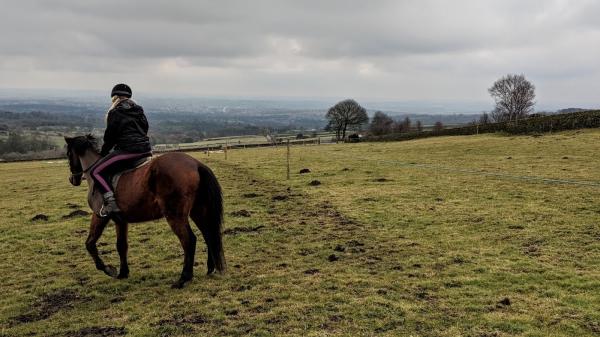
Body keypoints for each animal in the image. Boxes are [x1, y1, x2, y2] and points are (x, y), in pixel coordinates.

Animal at [63, 135, 225, 288]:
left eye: (68, 154)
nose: (72, 179)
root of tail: (196, 164)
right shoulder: (121, 221)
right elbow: (121, 245)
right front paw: (123, 273)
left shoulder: (99, 216)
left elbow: (90, 243)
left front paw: (109, 269)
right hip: (198, 211)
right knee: (208, 234)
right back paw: (210, 269)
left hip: (175, 215)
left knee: (189, 240)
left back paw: (183, 279)